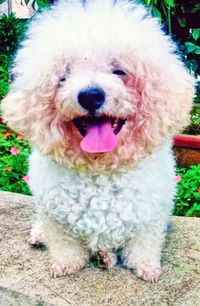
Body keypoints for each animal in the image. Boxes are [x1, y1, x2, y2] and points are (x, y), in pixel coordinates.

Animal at [2, 0, 195, 282]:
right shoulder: (55, 216)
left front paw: (145, 266)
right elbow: (63, 243)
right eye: (63, 76)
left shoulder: (150, 214)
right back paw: (41, 235)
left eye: (120, 71)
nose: (90, 95)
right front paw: (67, 263)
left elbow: (143, 242)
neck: (100, 168)